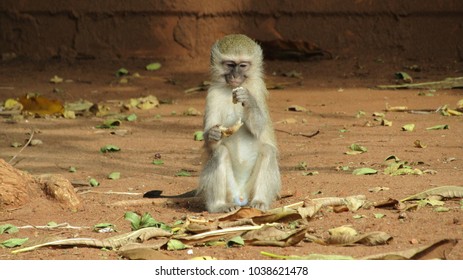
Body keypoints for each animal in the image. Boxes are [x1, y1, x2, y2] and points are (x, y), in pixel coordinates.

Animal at [198, 34, 280, 212]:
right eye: (230, 65)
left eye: (242, 65)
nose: (235, 76)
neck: (231, 89)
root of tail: (241, 195)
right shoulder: (212, 94)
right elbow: (211, 143)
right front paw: (213, 134)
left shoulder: (257, 88)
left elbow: (259, 127)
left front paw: (247, 99)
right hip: (230, 190)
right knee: (220, 152)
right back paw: (218, 205)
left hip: (250, 189)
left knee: (268, 151)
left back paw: (260, 201)